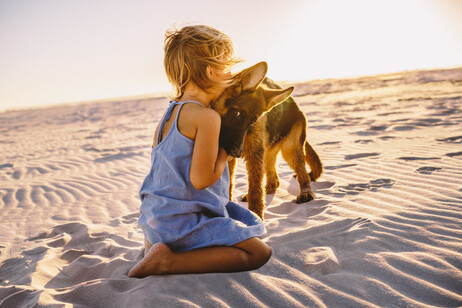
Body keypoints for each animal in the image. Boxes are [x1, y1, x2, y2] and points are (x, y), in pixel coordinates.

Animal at [211, 61, 324, 218]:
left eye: (253, 121)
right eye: (236, 113)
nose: (236, 153)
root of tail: (297, 108)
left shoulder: (253, 155)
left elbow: (255, 190)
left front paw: (256, 216)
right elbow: (230, 185)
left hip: (290, 150)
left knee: (302, 174)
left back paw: (306, 193)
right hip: (267, 152)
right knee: (274, 180)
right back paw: (268, 189)